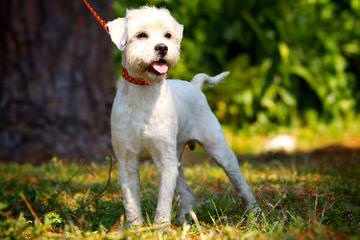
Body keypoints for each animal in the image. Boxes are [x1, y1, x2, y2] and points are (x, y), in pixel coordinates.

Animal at [107, 6, 258, 227]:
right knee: (187, 193)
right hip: (177, 159)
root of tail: (195, 86)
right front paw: (135, 227)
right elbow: (131, 201)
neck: (144, 92)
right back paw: (183, 219)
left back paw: (255, 213)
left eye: (168, 35)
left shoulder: (166, 161)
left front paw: (160, 228)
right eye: (141, 35)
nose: (162, 48)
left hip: (220, 152)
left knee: (242, 185)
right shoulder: (127, 161)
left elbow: (163, 200)